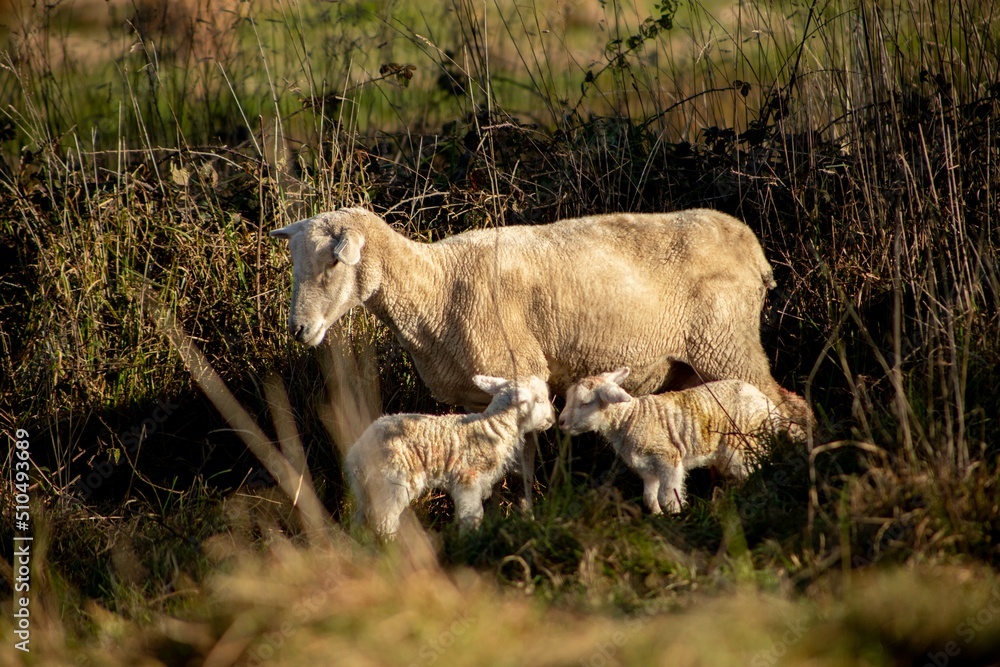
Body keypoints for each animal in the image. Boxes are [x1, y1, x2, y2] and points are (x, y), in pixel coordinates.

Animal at [345, 375, 555, 536]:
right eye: (539, 400)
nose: (552, 420)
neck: (493, 428)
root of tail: (358, 450)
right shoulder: (468, 480)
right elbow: (472, 514)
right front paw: (468, 538)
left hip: (365, 487)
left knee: (361, 517)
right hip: (392, 483)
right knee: (384, 520)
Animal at [558, 368, 804, 514]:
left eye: (585, 403)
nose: (560, 422)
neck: (632, 418)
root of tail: (769, 405)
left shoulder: (669, 459)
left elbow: (668, 496)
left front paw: (676, 515)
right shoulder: (647, 468)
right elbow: (649, 498)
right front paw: (657, 517)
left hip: (744, 443)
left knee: (755, 470)